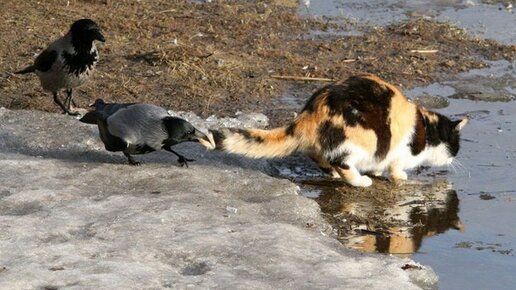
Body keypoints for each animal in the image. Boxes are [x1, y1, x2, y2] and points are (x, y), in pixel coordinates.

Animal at [206, 75, 468, 187]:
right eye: (455, 147)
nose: (454, 159)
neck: (425, 128)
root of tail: (310, 114)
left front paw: (377, 171)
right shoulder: (399, 152)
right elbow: (395, 168)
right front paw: (398, 176)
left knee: (320, 157)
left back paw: (334, 174)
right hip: (362, 139)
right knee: (342, 162)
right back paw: (360, 181)